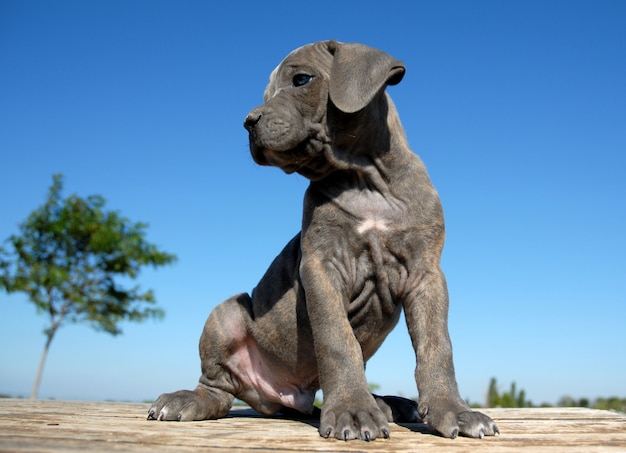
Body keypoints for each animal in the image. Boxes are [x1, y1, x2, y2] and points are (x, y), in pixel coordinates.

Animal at [147, 40, 498, 440]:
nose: (248, 122)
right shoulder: (321, 268)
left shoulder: (426, 274)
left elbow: (437, 346)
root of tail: (283, 396)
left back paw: (388, 403)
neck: (364, 179)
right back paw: (186, 400)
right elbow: (337, 341)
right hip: (227, 313)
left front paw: (453, 410)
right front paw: (353, 410)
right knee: (217, 389)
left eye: (301, 80)